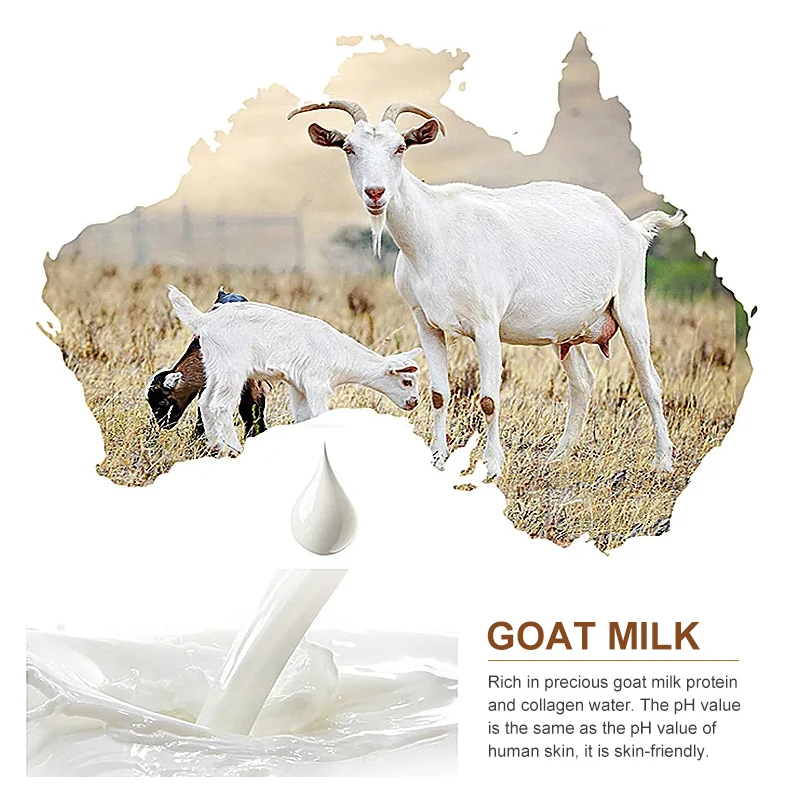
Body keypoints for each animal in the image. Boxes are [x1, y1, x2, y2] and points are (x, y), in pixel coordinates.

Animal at [166, 285, 422, 456]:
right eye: (407, 381)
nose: (414, 403)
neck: (340, 354)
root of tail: (204, 321)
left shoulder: (299, 387)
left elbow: (303, 418)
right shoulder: (317, 384)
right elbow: (320, 415)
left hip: (215, 367)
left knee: (205, 402)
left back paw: (216, 446)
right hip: (233, 368)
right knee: (220, 405)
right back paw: (234, 449)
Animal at [288, 100, 685, 476]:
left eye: (400, 147)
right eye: (349, 148)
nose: (375, 193)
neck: (434, 236)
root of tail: (633, 227)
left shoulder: (486, 324)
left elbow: (489, 399)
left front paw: (493, 465)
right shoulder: (426, 323)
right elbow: (439, 394)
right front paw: (438, 458)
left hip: (629, 306)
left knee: (650, 381)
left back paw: (663, 462)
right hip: (566, 332)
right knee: (583, 383)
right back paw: (557, 457)